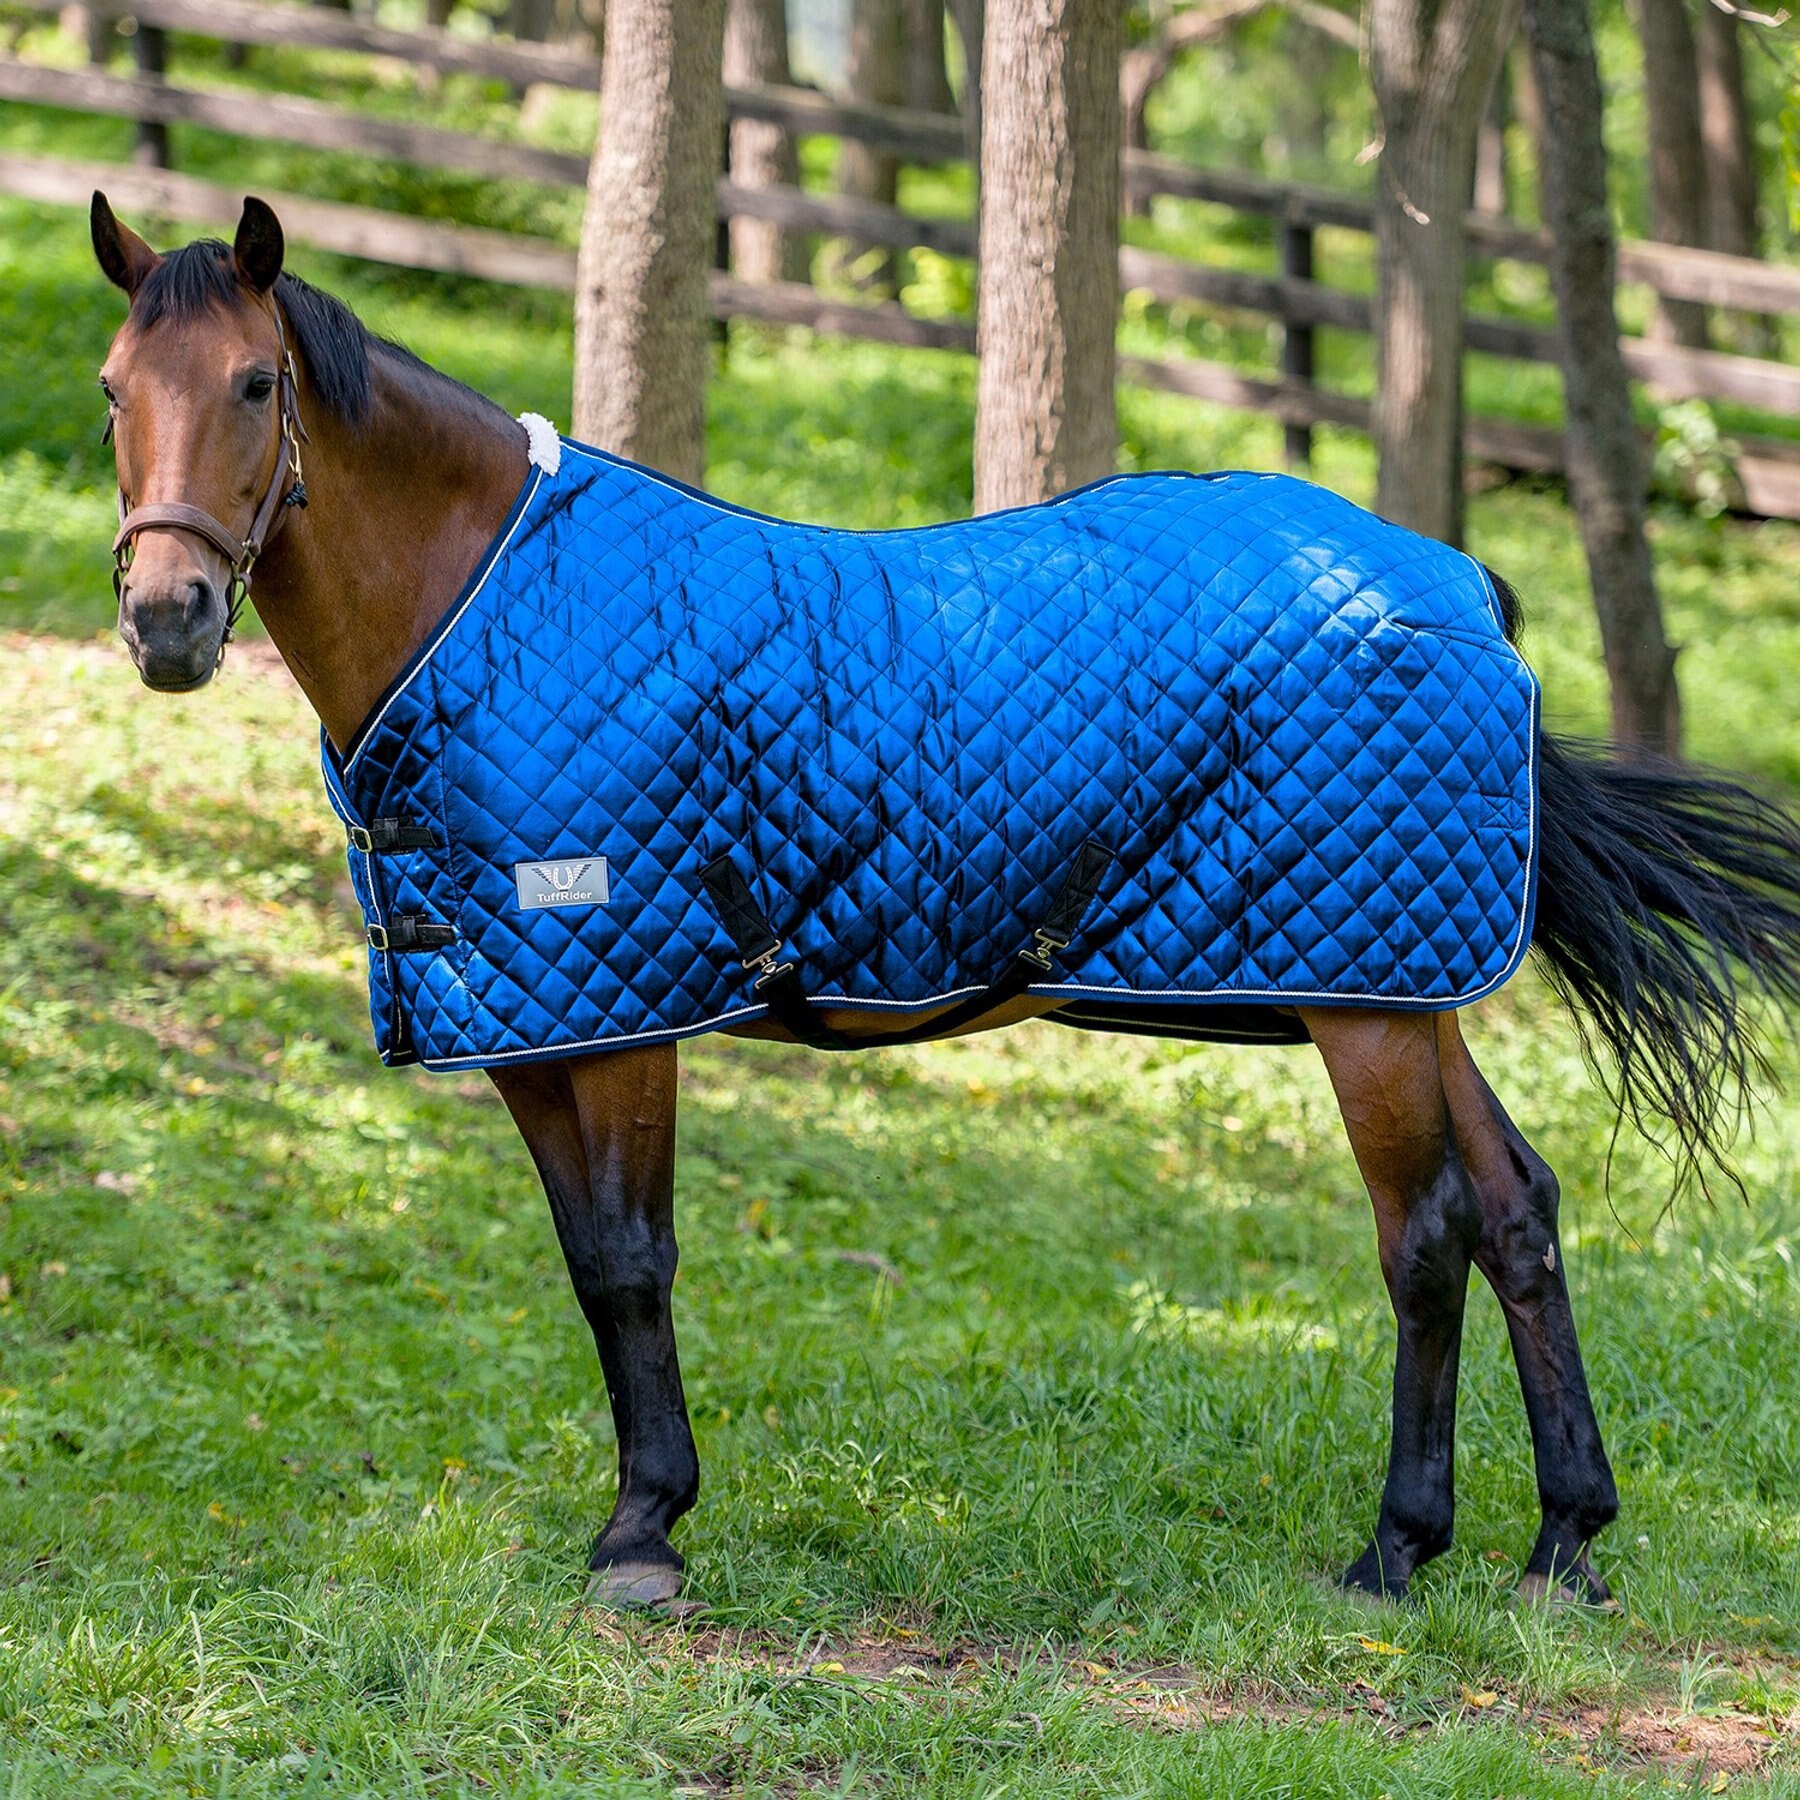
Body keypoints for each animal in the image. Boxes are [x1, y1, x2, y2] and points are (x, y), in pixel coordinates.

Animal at [88, 193, 1800, 1613]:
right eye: (115, 390)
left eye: (254, 386)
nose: (169, 619)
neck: (491, 604)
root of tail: (1463, 590)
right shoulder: (525, 1028)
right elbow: (586, 1266)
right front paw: (636, 1513)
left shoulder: (630, 1011)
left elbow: (635, 1260)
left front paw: (647, 1537)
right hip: (1402, 976)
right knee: (1517, 1211)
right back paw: (1563, 1544)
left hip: (1357, 1003)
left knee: (1429, 1232)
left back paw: (1399, 1546)